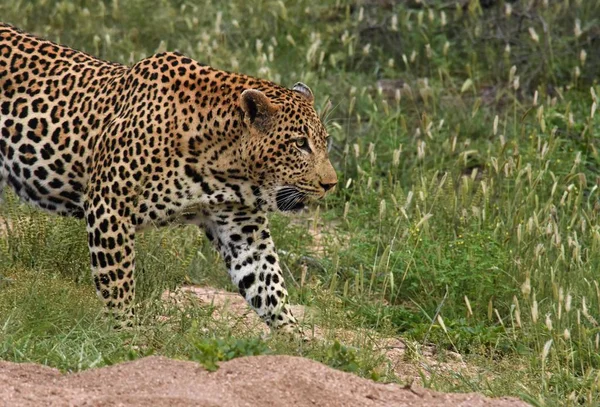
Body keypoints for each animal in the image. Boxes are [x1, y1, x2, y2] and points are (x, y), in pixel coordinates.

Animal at [0, 23, 338, 332]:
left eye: (324, 141)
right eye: (300, 143)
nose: (330, 184)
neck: (224, 165)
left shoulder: (243, 230)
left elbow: (269, 288)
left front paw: (297, 342)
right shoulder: (109, 205)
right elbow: (118, 281)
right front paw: (126, 337)